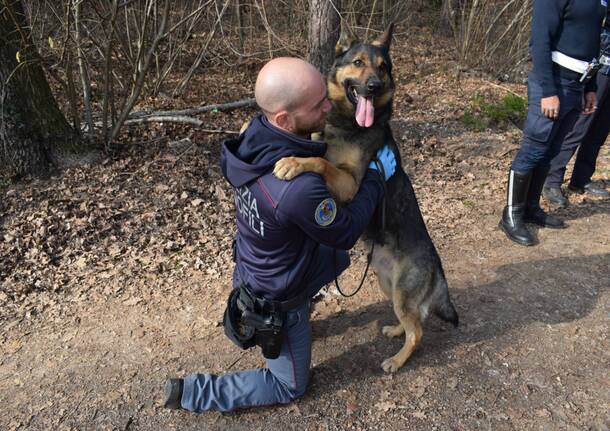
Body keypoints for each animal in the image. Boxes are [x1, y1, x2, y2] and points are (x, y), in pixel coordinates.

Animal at [274, 24, 456, 374]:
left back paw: (396, 360)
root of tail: (437, 265)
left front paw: (291, 162)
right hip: (388, 284)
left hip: (401, 292)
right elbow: (313, 147)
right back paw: (395, 330)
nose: (373, 86)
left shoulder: (349, 184)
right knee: (412, 320)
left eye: (383, 68)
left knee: (418, 330)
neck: (347, 125)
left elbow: (320, 161)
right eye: (358, 62)